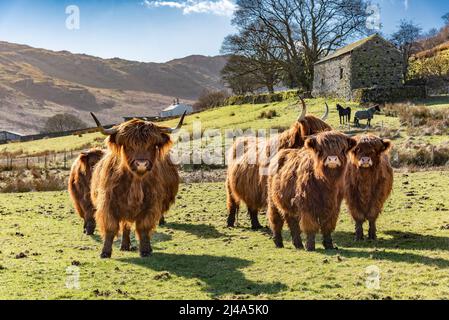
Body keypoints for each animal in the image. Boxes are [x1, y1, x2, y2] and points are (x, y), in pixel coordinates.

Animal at [89, 112, 184, 258]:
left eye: (152, 145)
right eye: (128, 145)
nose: (141, 164)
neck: (135, 181)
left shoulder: (151, 205)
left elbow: (143, 228)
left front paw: (145, 250)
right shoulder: (108, 204)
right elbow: (111, 227)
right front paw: (105, 252)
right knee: (125, 225)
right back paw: (124, 245)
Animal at [226, 97, 330, 230]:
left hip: (251, 187)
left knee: (251, 205)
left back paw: (256, 225)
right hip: (230, 185)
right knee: (232, 202)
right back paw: (230, 222)